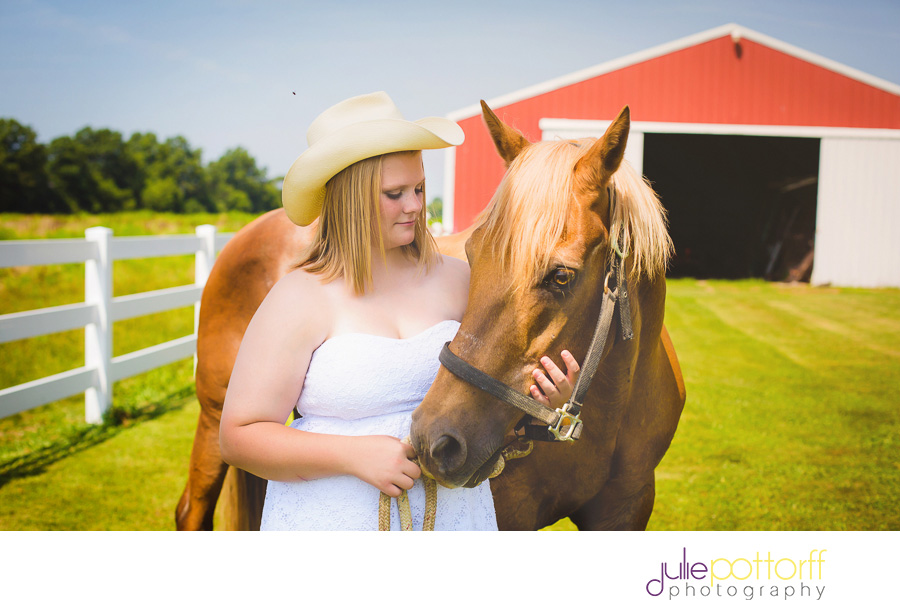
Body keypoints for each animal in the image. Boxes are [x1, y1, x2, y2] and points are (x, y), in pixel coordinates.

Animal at [176, 101, 684, 532]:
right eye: (474, 255)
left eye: (562, 276)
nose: (434, 442)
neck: (610, 412)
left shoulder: (626, 510)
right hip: (215, 417)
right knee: (191, 510)